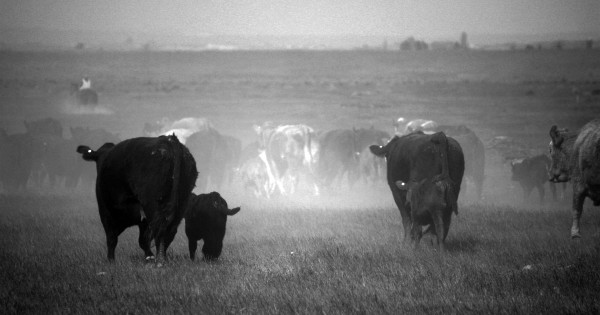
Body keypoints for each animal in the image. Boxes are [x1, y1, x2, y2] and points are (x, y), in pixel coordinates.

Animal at [76, 136, 198, 264]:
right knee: (169, 232)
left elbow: (112, 239)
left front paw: (111, 261)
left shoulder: (105, 211)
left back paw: (159, 261)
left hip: (151, 205)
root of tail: (168, 140)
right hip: (181, 203)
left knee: (159, 230)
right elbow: (142, 240)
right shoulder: (141, 219)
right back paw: (161, 258)